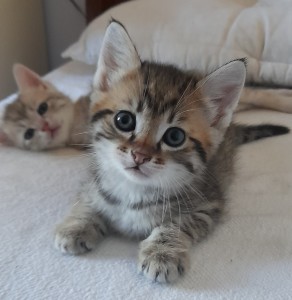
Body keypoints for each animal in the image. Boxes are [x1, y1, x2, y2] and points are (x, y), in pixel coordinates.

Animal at [54, 22, 290, 282]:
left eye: (174, 137)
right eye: (124, 120)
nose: (140, 156)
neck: (134, 191)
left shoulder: (208, 205)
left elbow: (177, 224)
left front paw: (162, 252)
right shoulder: (93, 180)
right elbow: (87, 200)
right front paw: (77, 225)